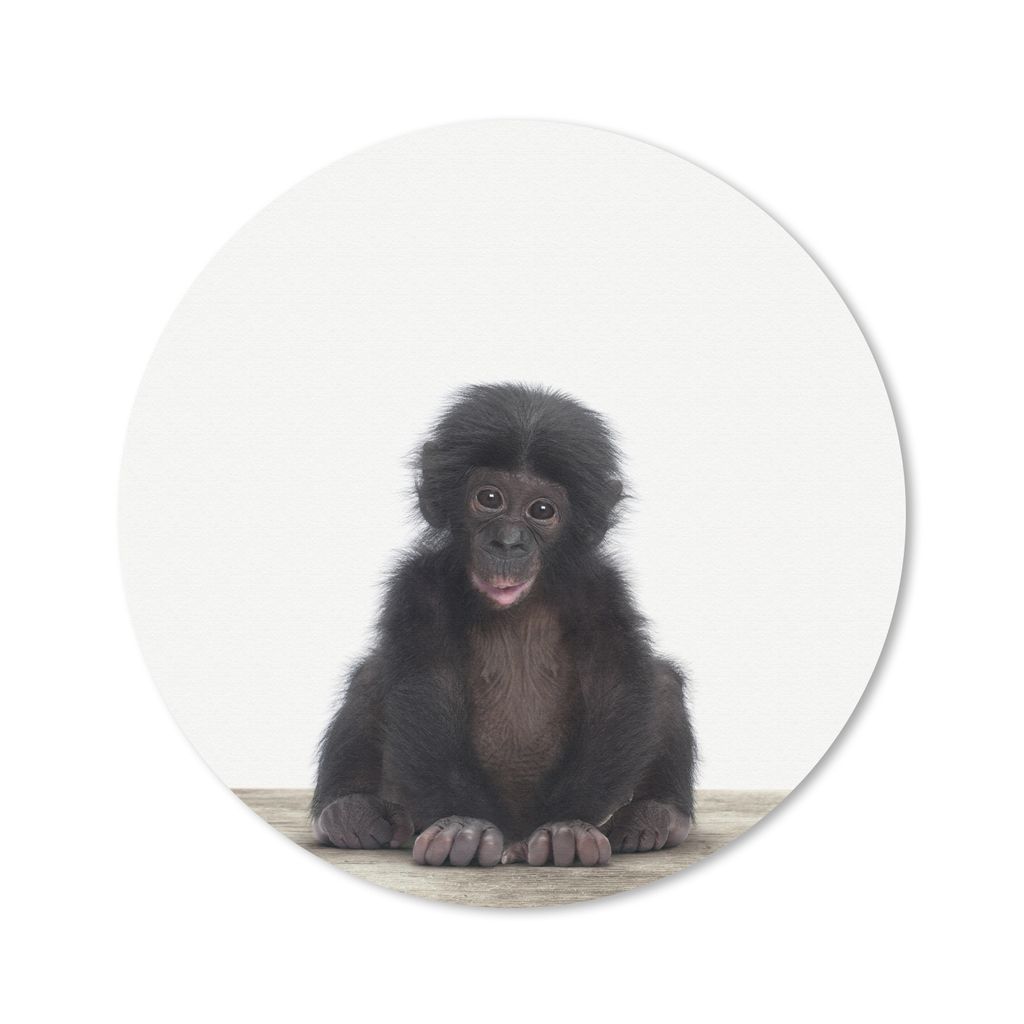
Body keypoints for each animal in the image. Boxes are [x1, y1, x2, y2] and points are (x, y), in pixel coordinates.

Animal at [311, 383, 695, 867]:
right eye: (489, 499)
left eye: (542, 510)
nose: (508, 542)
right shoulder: (418, 584)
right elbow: (426, 691)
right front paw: (464, 828)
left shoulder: (603, 590)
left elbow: (616, 690)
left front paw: (567, 829)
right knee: (370, 675)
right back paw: (348, 812)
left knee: (661, 681)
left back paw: (655, 817)